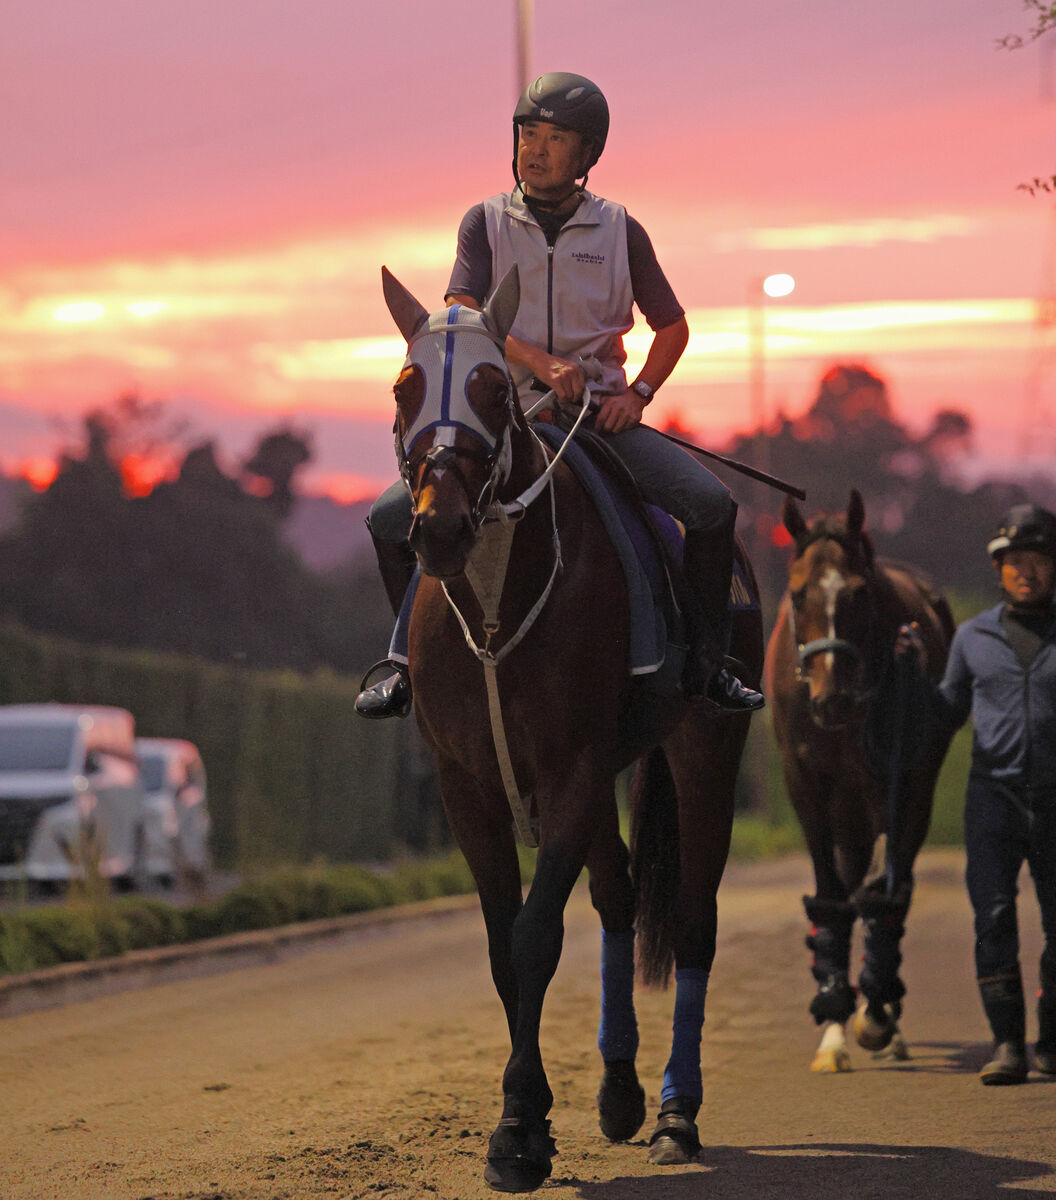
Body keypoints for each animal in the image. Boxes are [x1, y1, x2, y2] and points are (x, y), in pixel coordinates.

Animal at [384, 267, 763, 1185]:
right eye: (405, 387)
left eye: (492, 387)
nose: (439, 525)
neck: (495, 603)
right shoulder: (469, 786)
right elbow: (501, 947)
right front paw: (533, 1115)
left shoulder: (572, 772)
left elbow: (534, 937)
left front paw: (519, 1127)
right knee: (619, 894)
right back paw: (622, 1091)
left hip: (702, 747)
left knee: (692, 921)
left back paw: (675, 1115)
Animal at [763, 492, 955, 1075]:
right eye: (797, 592)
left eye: (859, 592)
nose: (831, 699)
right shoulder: (805, 782)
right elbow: (832, 896)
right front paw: (832, 1032)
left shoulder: (887, 780)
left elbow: (878, 892)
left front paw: (872, 1018)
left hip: (907, 791)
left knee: (894, 887)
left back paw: (884, 1013)